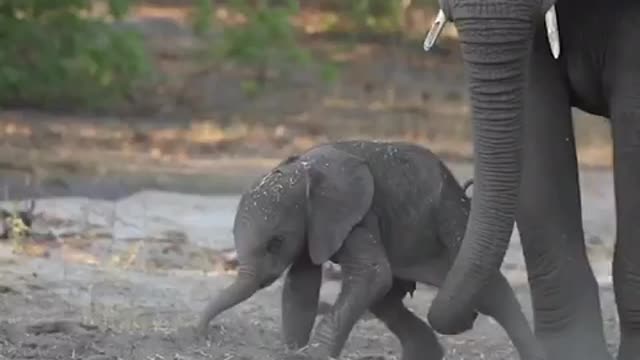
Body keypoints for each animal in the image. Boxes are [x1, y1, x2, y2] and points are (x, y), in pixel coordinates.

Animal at [196, 141, 544, 360]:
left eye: (275, 242)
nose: (201, 333)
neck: (305, 168)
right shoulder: (314, 226)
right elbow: (301, 286)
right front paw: (294, 352)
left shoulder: (357, 215)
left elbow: (371, 276)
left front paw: (314, 355)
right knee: (386, 299)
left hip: (452, 219)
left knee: (490, 292)